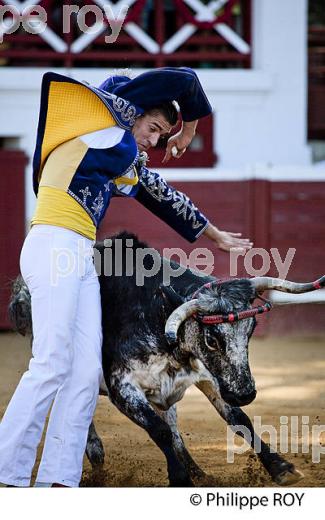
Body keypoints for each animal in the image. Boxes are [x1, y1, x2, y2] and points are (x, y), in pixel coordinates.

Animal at [8, 234, 322, 486]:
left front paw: (281, 467)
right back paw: (92, 469)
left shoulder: (209, 376)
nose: (245, 393)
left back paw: (198, 472)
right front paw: (179, 478)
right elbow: (158, 430)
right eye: (211, 338)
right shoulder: (122, 387)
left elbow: (238, 419)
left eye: (251, 329)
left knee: (173, 426)